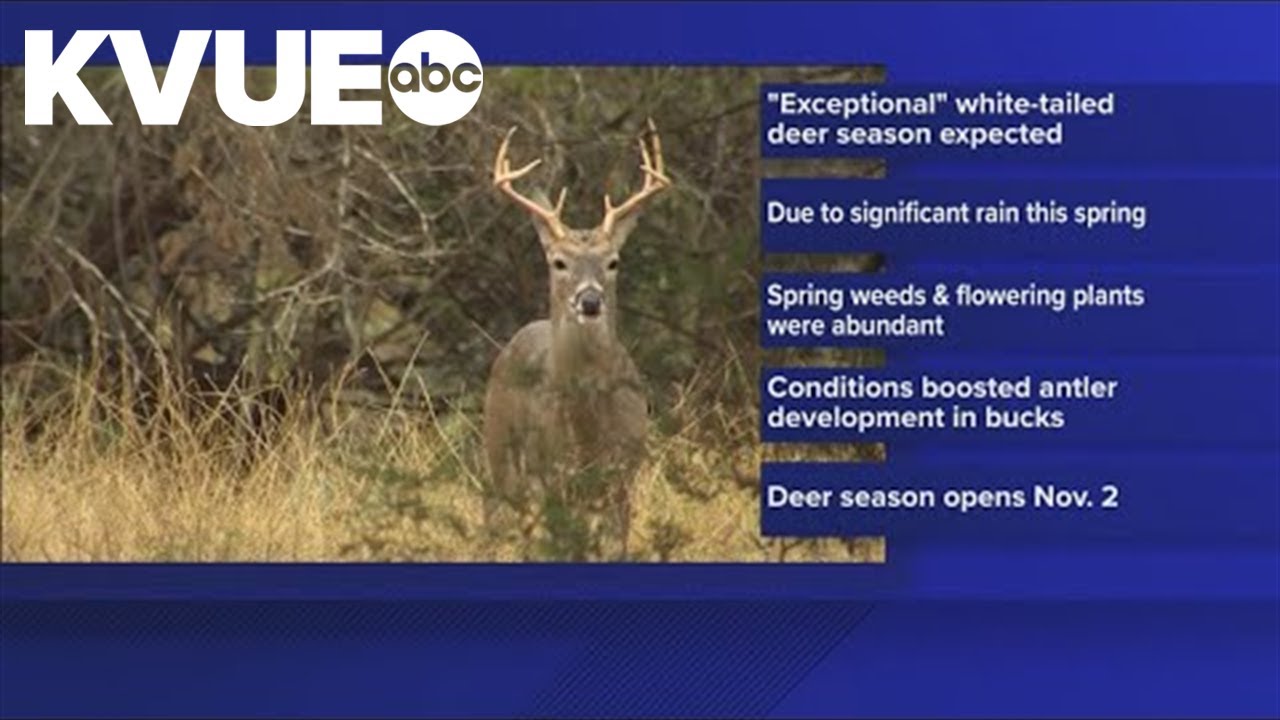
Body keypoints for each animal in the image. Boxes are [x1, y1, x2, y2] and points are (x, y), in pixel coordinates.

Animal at [483, 120, 671, 560]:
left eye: (613, 261)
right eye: (559, 262)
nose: (589, 300)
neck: (587, 436)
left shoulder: (624, 473)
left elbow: (614, 548)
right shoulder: (549, 474)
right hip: (498, 451)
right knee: (499, 524)